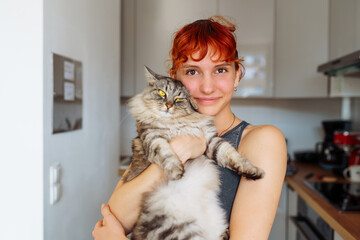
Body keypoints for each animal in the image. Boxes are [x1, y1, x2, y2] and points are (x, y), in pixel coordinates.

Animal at [122, 67, 262, 240]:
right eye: (162, 93)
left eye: (178, 99)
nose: (168, 105)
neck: (175, 122)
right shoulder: (153, 138)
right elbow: (166, 153)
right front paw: (176, 172)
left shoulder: (209, 140)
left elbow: (231, 155)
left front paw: (252, 171)